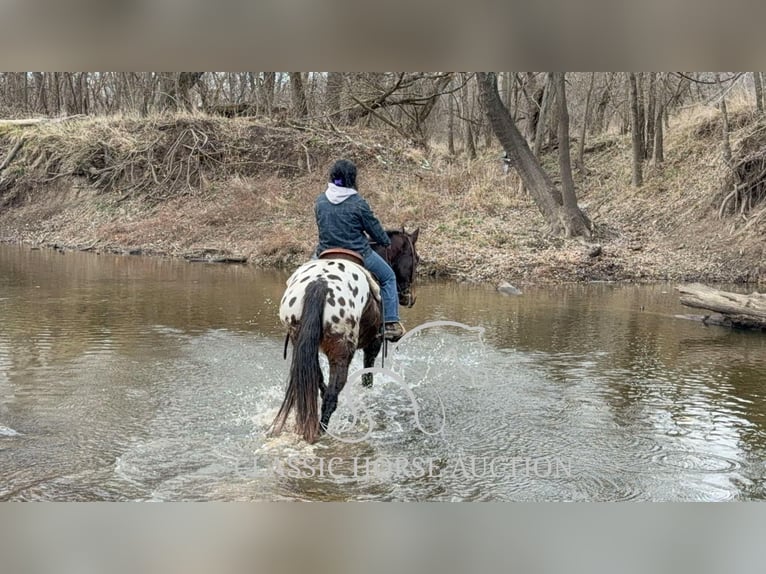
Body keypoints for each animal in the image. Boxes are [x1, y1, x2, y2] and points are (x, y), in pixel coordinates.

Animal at [272, 230, 424, 446]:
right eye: (416, 258)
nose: (409, 298)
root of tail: (319, 284)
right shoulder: (374, 343)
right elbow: (368, 377)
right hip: (342, 351)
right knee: (331, 396)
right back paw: (322, 431)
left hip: (302, 344)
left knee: (319, 383)